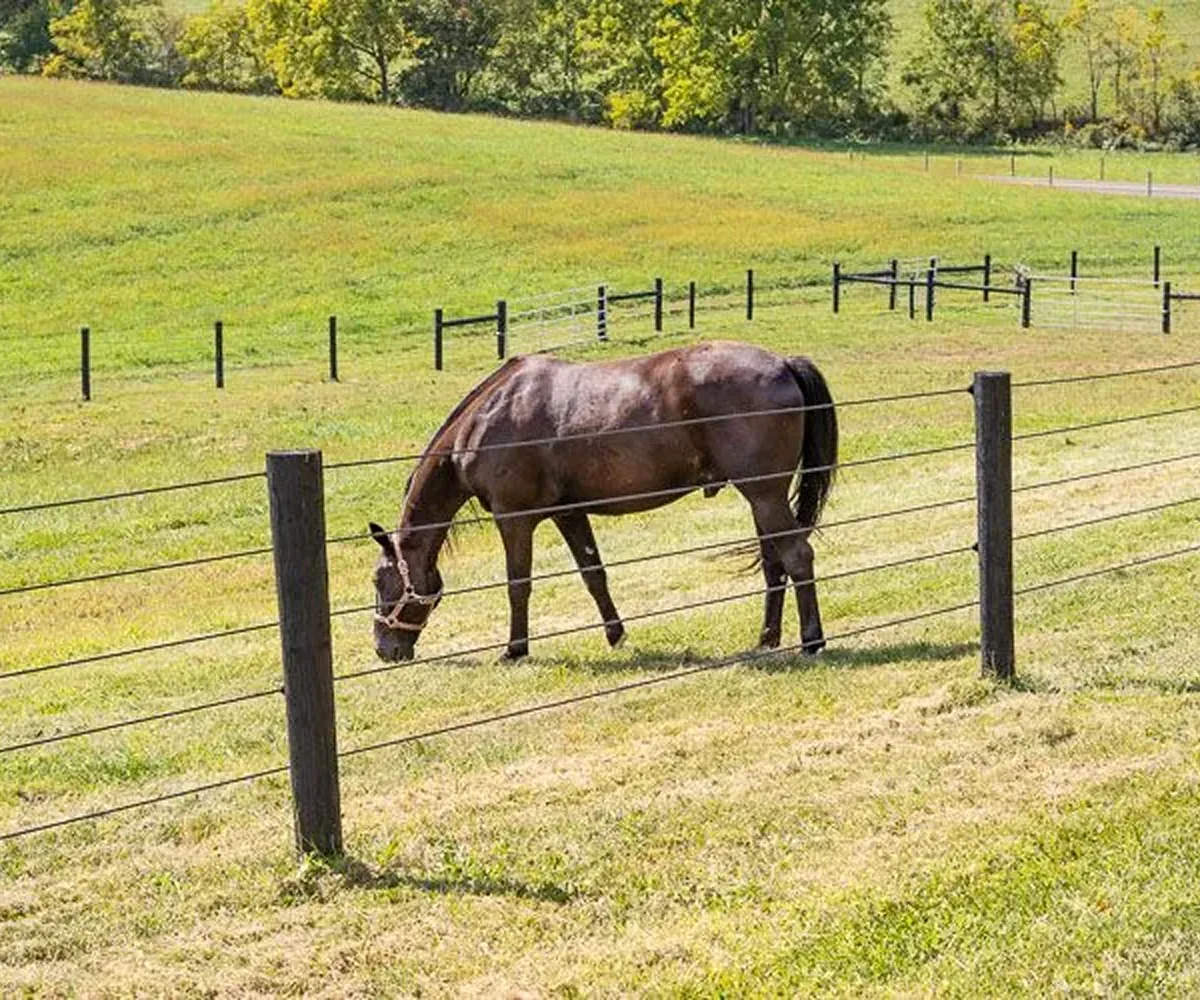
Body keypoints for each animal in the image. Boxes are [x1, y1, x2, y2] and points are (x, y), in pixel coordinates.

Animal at [368, 340, 838, 663]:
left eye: (378, 581)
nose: (384, 649)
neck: (490, 416)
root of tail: (784, 363)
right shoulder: (569, 512)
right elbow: (594, 575)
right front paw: (617, 635)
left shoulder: (514, 518)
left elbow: (518, 585)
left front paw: (515, 649)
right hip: (761, 497)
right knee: (775, 564)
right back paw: (767, 638)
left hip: (764, 494)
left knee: (797, 556)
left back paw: (811, 641)